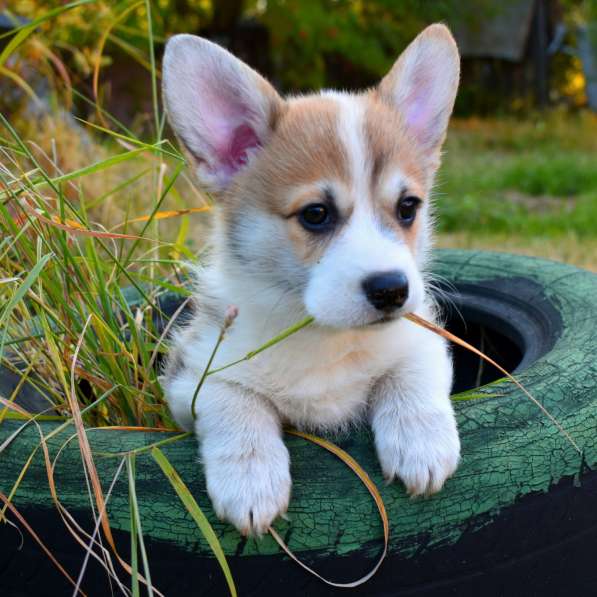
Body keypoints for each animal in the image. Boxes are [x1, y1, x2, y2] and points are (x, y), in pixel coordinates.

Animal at [161, 24, 458, 536]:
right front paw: (251, 481)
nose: (391, 289)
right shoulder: (193, 377)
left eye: (408, 208)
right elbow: (234, 402)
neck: (325, 335)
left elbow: (409, 374)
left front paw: (422, 442)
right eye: (316, 214)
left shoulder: (422, 339)